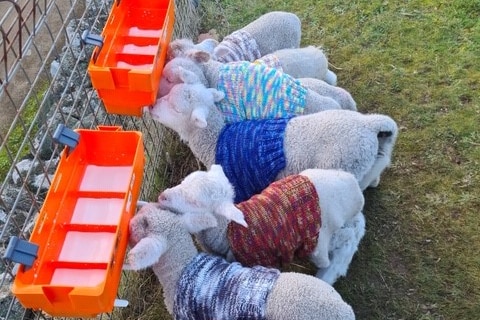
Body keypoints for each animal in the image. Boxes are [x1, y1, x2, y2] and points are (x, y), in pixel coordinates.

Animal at [149, 82, 398, 198]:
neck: (216, 140)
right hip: (368, 164)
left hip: (344, 164)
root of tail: (369, 125)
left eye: (176, 108)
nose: (151, 106)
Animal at [156, 164, 366, 284]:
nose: (161, 196)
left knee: (347, 239)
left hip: (320, 240)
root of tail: (354, 187)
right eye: (183, 181)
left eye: (196, 203)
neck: (228, 231)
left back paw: (330, 273)